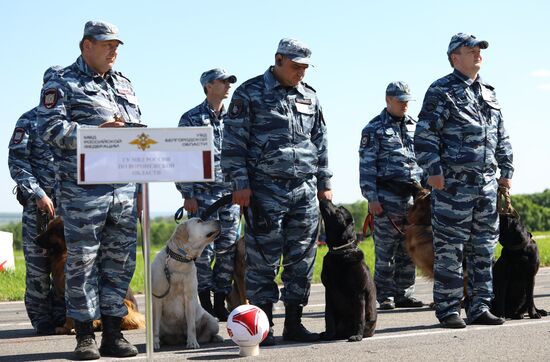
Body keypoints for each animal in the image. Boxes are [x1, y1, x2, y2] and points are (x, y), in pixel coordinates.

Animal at [152, 216, 223, 350]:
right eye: (200, 221)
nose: (218, 220)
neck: (180, 260)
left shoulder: (189, 298)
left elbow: (192, 326)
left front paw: (192, 342)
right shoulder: (157, 300)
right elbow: (155, 327)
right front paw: (154, 343)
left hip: (212, 321)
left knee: (209, 333)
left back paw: (217, 338)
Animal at [320, 199, 380, 340]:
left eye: (338, 210)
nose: (326, 199)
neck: (341, 252)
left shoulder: (358, 293)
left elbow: (359, 318)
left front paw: (357, 336)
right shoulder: (329, 291)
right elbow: (328, 316)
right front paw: (328, 334)